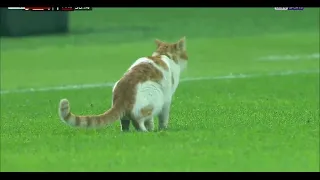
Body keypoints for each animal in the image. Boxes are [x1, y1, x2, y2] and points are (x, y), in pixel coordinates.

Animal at [58, 37, 188, 132]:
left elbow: (150, 121)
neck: (163, 55)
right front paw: (162, 128)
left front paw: (152, 127)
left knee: (125, 123)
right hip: (155, 99)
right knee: (138, 121)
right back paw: (145, 132)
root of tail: (123, 94)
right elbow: (163, 118)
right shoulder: (167, 99)